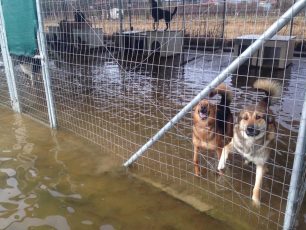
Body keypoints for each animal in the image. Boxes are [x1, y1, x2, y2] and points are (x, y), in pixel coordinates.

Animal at [219, 79, 280, 207]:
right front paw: (221, 164)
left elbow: (257, 187)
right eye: (245, 118)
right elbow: (225, 148)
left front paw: (255, 203)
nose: (250, 128)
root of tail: (263, 102)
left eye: (258, 117)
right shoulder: (235, 144)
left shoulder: (260, 164)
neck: (251, 143)